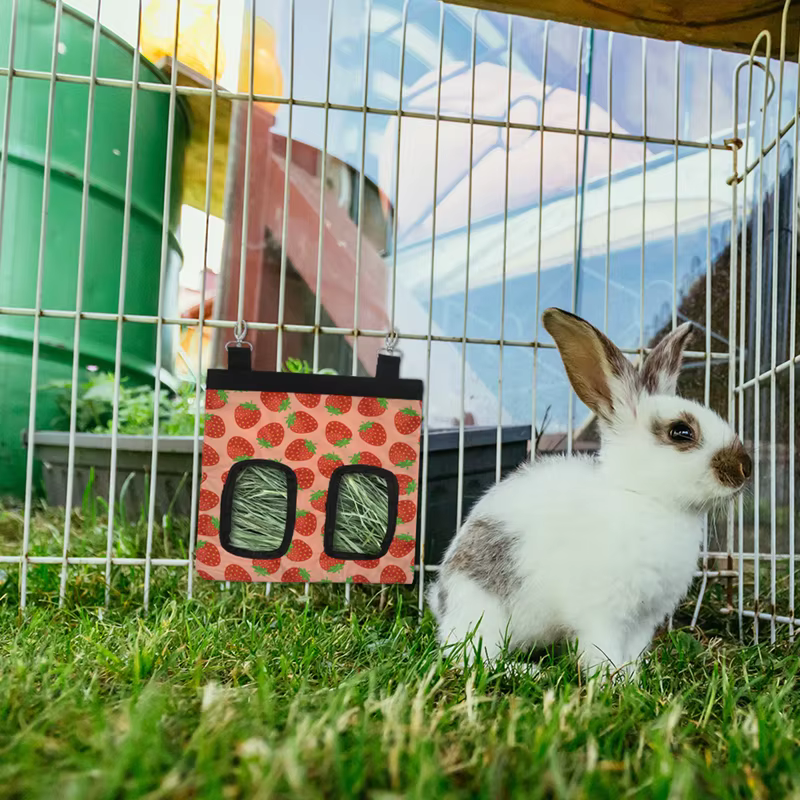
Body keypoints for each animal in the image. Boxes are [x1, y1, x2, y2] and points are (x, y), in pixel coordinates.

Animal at [428, 308, 752, 680]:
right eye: (681, 432)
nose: (745, 467)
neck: (644, 496)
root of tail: (440, 601)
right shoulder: (603, 613)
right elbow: (602, 649)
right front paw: (613, 679)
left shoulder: (644, 619)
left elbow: (634, 651)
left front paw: (635, 677)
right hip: (483, 611)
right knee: (472, 656)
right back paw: (531, 672)